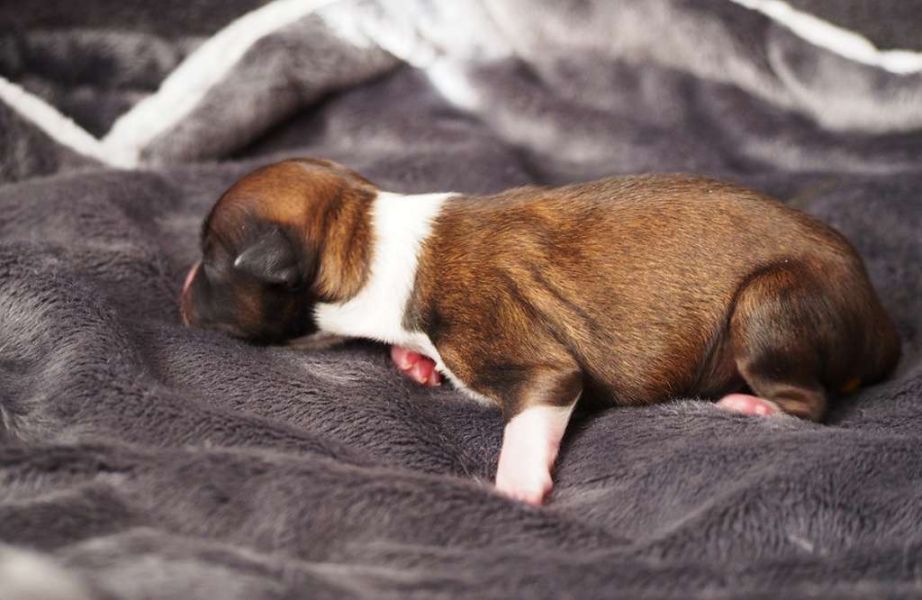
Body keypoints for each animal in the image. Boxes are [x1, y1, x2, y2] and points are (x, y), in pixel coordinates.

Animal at [180, 158, 900, 504]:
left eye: (211, 260)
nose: (182, 289)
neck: (366, 239)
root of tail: (882, 324)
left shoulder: (536, 365)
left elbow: (528, 422)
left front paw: (517, 489)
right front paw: (415, 364)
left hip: (767, 306)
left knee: (808, 403)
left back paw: (748, 406)